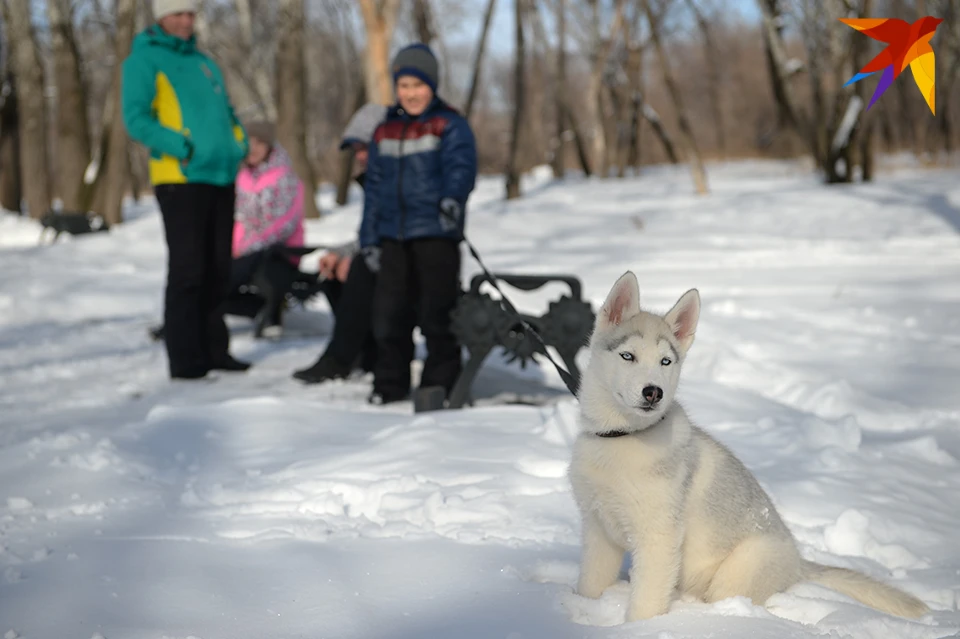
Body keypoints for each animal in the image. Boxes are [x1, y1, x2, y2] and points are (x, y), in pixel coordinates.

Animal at [568, 272, 928, 624]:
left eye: (665, 361)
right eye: (627, 356)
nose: (653, 392)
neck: (622, 436)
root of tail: (799, 562)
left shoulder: (658, 537)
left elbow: (645, 603)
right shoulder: (598, 529)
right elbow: (591, 584)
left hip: (736, 574)